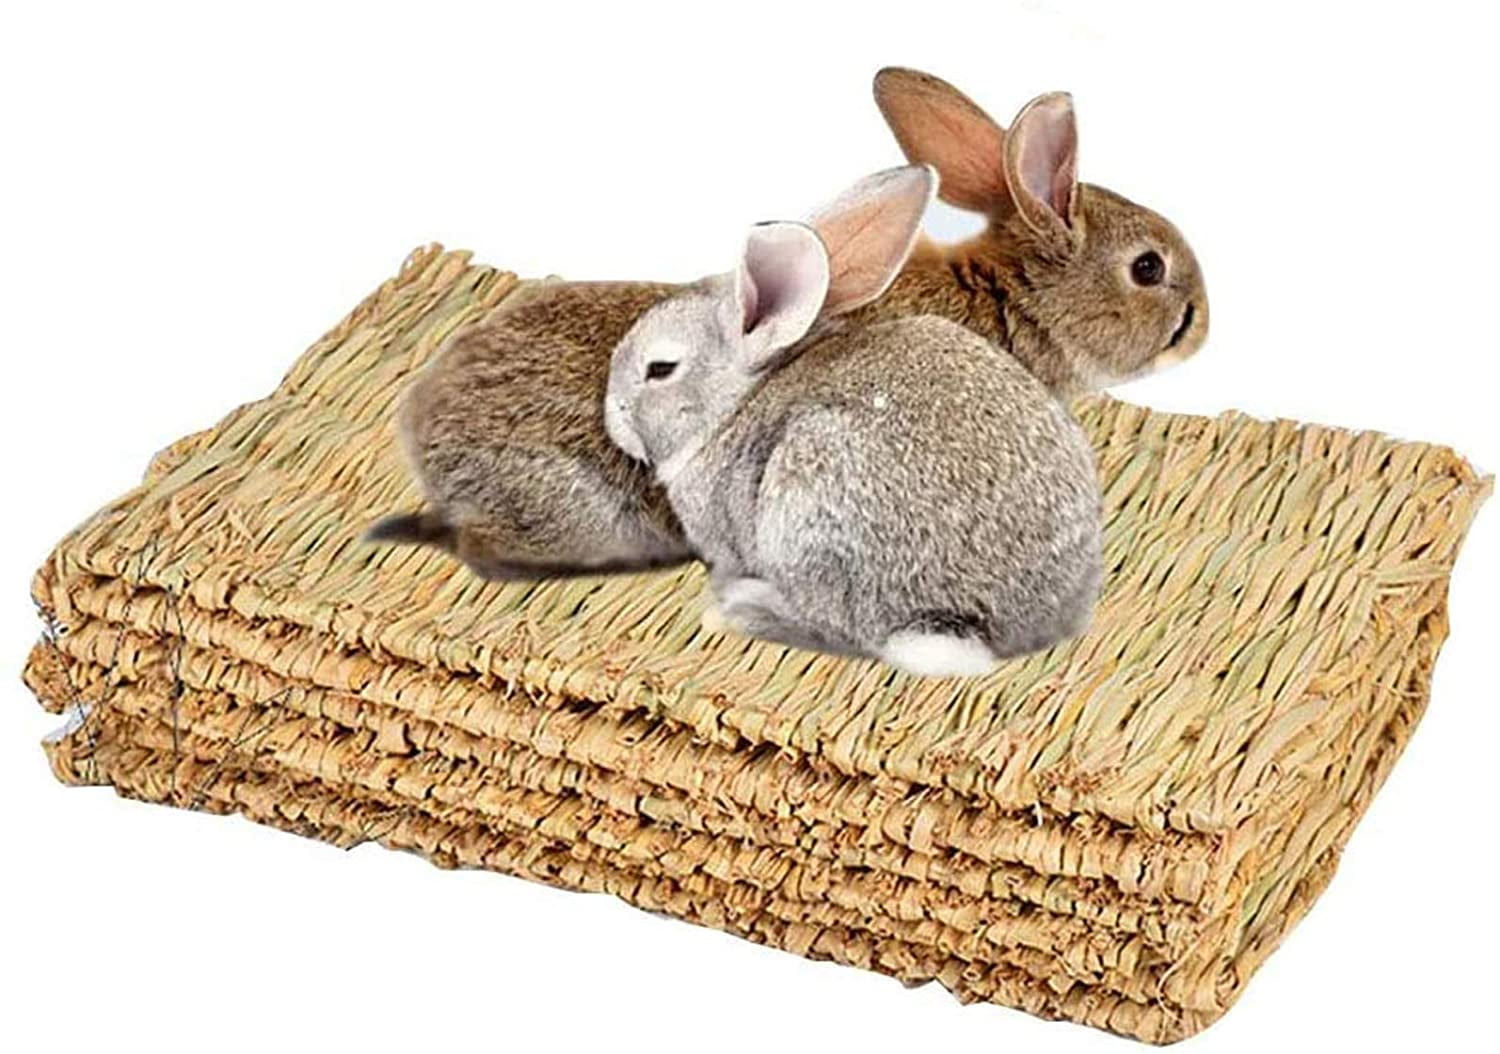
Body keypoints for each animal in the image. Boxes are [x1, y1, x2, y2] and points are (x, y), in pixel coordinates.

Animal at [605, 199, 1102, 677]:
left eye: (660, 369)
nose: (613, 414)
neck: (733, 404)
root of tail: (990, 625)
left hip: (808, 504)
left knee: (841, 628)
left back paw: (741, 609)